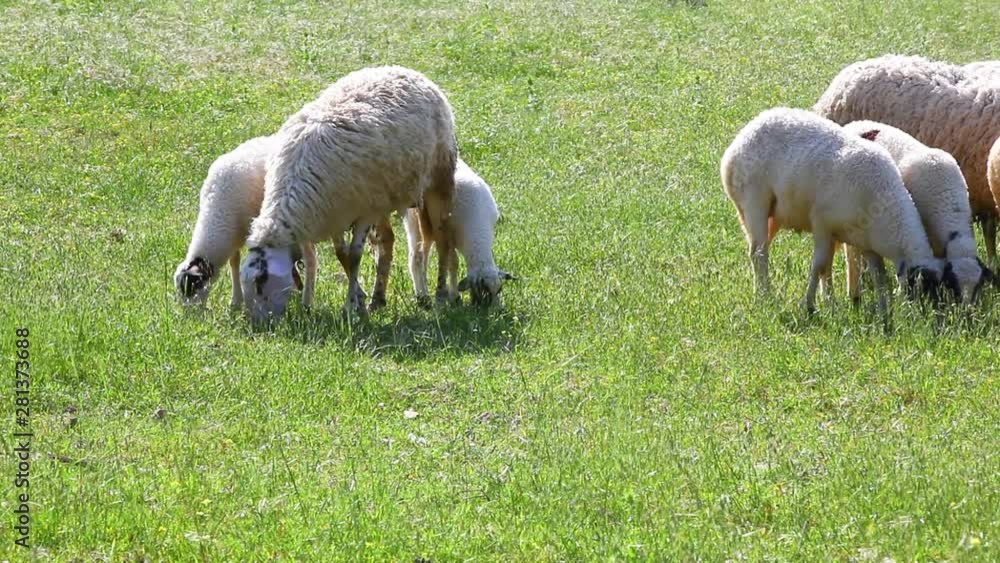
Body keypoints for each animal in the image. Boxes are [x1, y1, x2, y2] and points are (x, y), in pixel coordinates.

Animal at [174, 135, 317, 309]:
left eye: (192, 287)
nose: (188, 312)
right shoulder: (234, 235)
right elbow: (234, 262)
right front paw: (236, 300)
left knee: (311, 258)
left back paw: (307, 301)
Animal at [240, 66, 458, 321]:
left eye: (260, 282)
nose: (258, 324)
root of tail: (404, 70)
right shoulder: (335, 215)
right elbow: (341, 254)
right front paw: (360, 303)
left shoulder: (364, 211)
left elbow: (353, 257)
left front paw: (351, 307)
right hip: (384, 198)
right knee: (387, 240)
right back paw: (378, 299)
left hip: (439, 177)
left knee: (442, 237)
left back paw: (441, 294)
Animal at [401, 158, 515, 307]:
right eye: (483, 292)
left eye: (500, 289)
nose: (497, 310)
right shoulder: (448, 237)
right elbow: (453, 263)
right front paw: (454, 296)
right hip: (415, 221)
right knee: (415, 256)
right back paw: (422, 296)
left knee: (422, 256)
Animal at [720, 107, 943, 317]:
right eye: (924, 289)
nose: (930, 322)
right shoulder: (821, 225)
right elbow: (819, 266)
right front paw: (809, 306)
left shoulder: (866, 244)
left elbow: (879, 277)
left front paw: (883, 315)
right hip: (754, 202)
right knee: (759, 253)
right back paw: (765, 296)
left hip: (773, 216)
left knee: (757, 250)